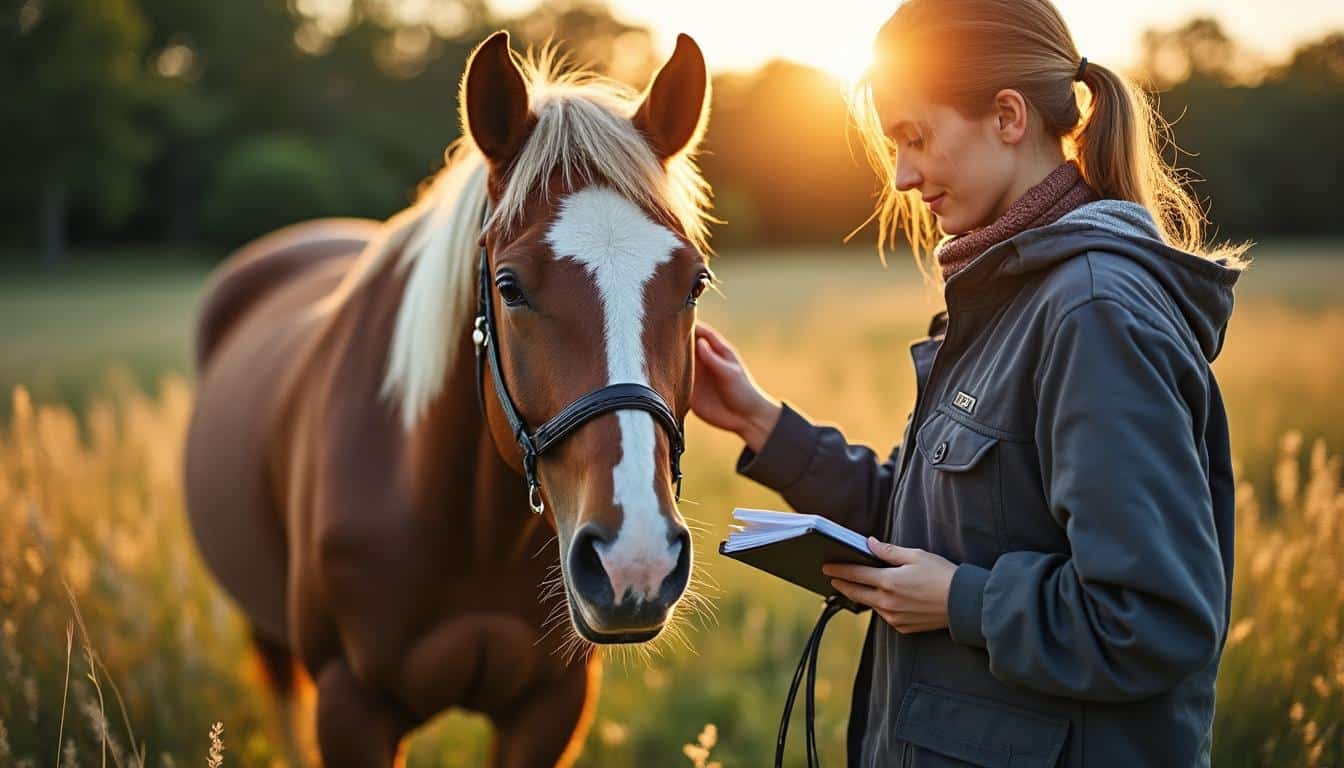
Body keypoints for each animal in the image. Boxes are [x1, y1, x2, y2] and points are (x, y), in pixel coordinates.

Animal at [183, 30, 715, 767]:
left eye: (694, 282)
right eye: (510, 287)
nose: (634, 559)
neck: (467, 528)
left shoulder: (550, 707)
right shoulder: (351, 706)